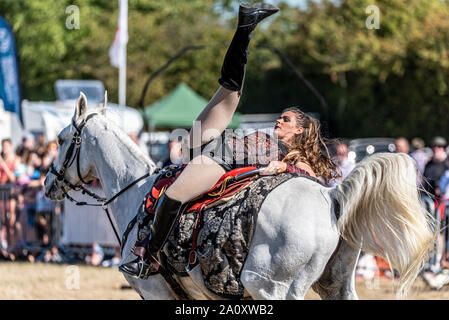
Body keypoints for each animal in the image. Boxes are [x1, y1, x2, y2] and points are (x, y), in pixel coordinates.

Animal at [45, 93, 434, 300]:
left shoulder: (155, 291)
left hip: (269, 288)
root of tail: (331, 198)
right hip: (334, 285)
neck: (136, 190)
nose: (49, 183)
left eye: (62, 139)